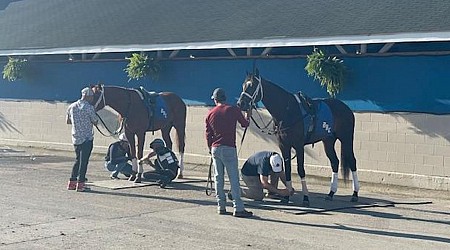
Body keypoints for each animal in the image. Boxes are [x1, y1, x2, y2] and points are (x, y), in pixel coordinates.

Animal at [236, 70, 358, 205]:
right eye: (243, 85)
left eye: (252, 85)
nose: (240, 103)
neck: (287, 111)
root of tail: (346, 108)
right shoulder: (284, 146)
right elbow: (288, 169)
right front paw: (287, 196)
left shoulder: (299, 146)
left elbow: (301, 169)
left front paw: (305, 197)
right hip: (328, 141)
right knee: (334, 162)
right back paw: (331, 193)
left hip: (346, 139)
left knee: (352, 161)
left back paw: (355, 194)